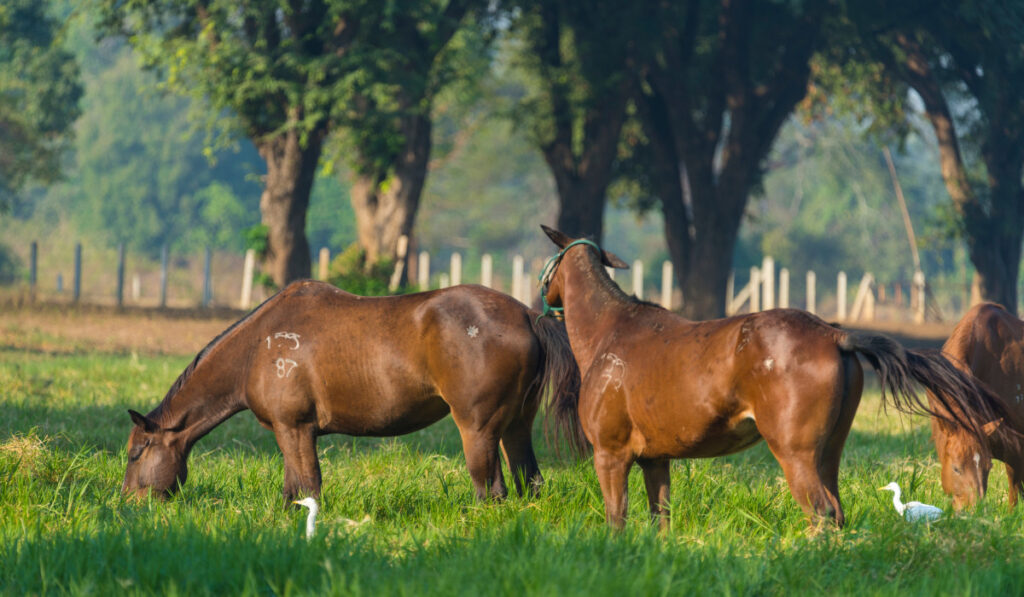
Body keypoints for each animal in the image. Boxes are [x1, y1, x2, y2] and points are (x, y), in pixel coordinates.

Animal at [119, 280, 577, 503]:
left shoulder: (295, 429)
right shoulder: (292, 433)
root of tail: (527, 315)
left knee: (491, 490)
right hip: (516, 427)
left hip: (478, 429)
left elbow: (309, 487)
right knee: (529, 481)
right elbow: (293, 490)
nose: (127, 504)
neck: (257, 347)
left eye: (135, 453)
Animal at [540, 226, 1011, 528]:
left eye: (550, 264)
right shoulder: (656, 460)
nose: (542, 296)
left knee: (822, 511)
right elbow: (661, 521)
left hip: (795, 454)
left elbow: (616, 518)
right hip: (829, 453)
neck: (613, 333)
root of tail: (834, 334)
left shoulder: (610, 455)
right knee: (837, 510)